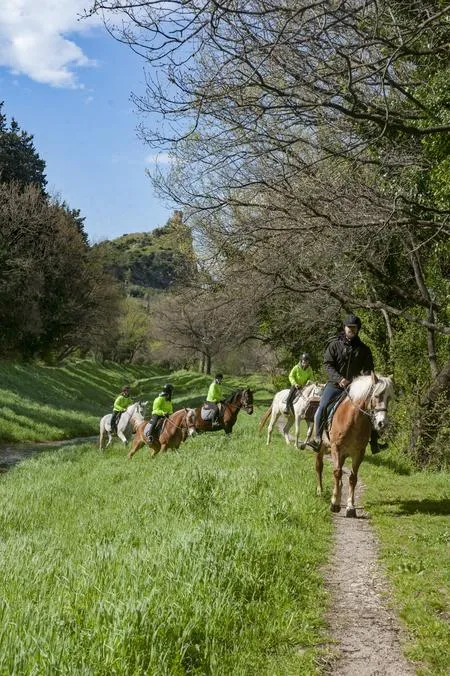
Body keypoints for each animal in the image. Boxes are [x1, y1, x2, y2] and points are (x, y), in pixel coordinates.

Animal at [315, 373, 394, 518]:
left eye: (389, 398)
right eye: (376, 396)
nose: (382, 423)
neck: (354, 420)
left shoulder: (358, 453)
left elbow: (352, 478)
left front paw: (350, 507)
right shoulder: (336, 449)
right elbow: (337, 473)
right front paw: (334, 504)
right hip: (321, 449)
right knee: (319, 467)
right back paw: (320, 491)